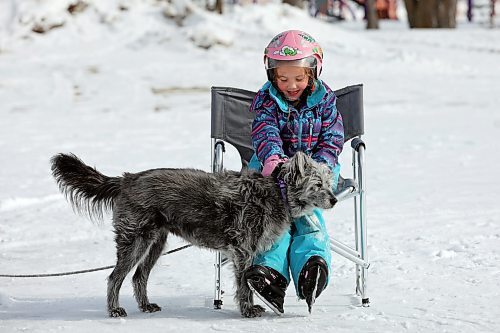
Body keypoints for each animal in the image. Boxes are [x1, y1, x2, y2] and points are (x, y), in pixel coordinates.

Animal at [50, 150, 338, 316]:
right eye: (317, 184)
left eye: (329, 182)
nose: (334, 200)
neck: (276, 191)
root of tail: (126, 179)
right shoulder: (243, 251)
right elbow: (244, 285)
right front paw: (247, 310)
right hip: (135, 241)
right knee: (114, 278)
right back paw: (114, 309)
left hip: (155, 243)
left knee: (139, 277)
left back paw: (145, 306)